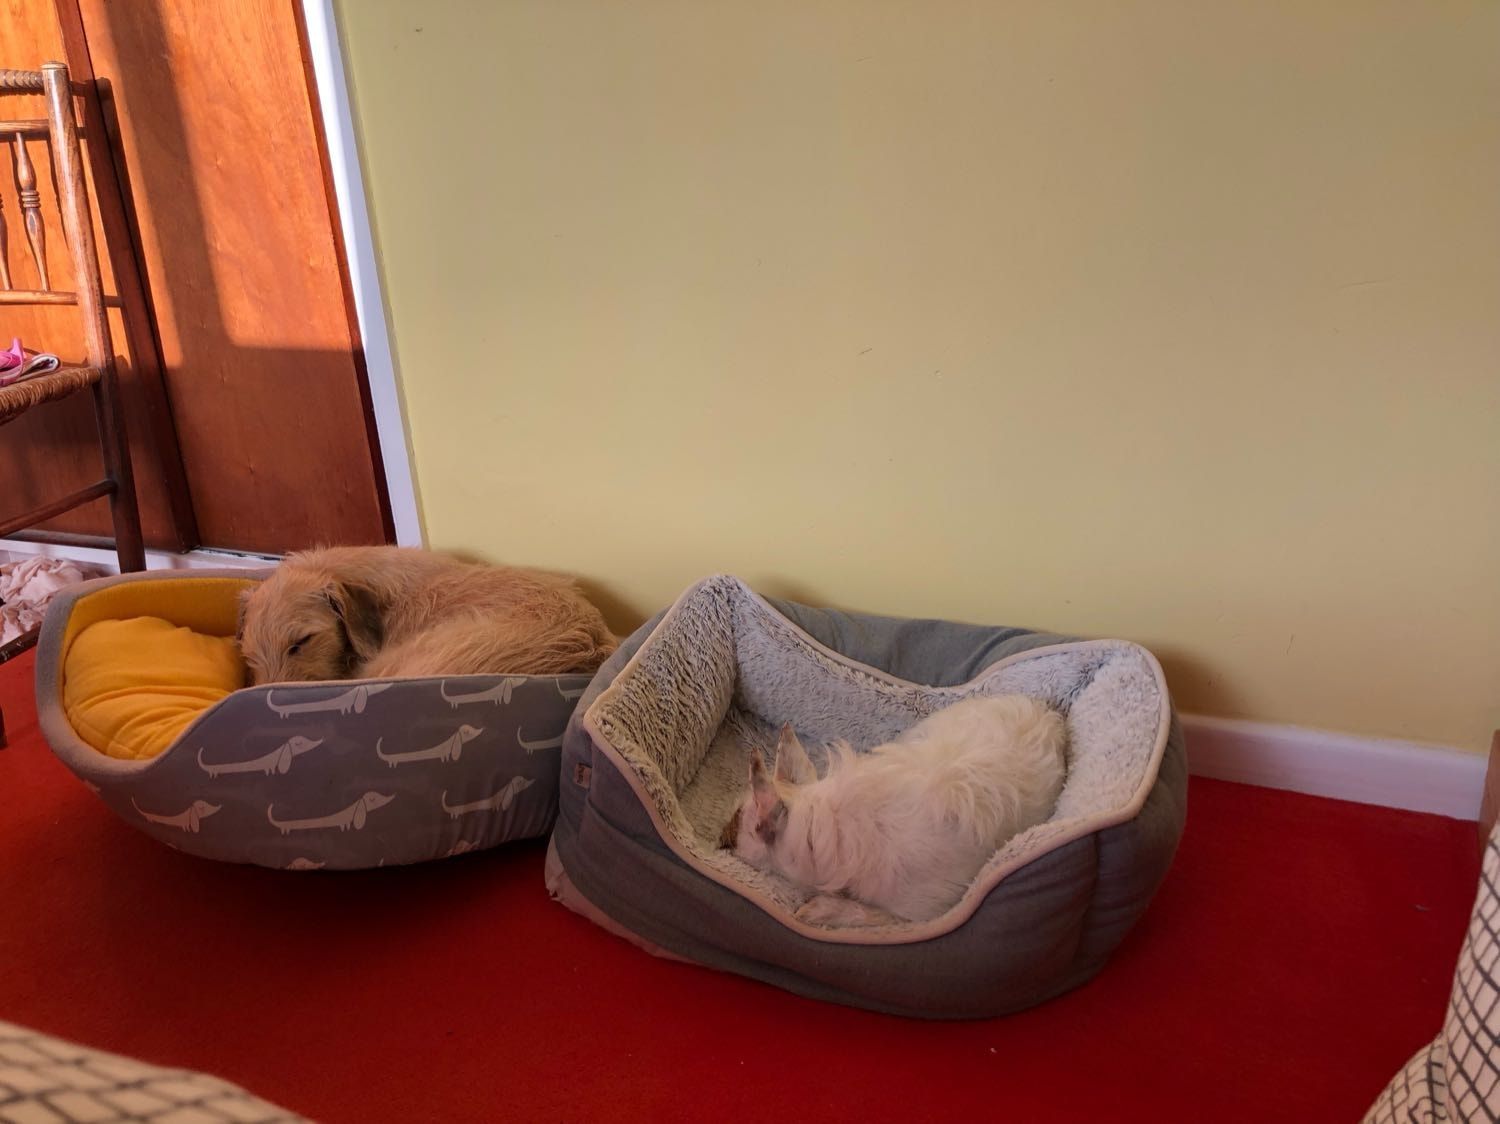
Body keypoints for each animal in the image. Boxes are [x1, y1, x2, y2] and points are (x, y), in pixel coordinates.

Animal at [721, 694, 1067, 928]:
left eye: (737, 823)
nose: (720, 835)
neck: (822, 823)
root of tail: (1045, 710)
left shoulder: (924, 913)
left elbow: (868, 913)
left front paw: (821, 909)